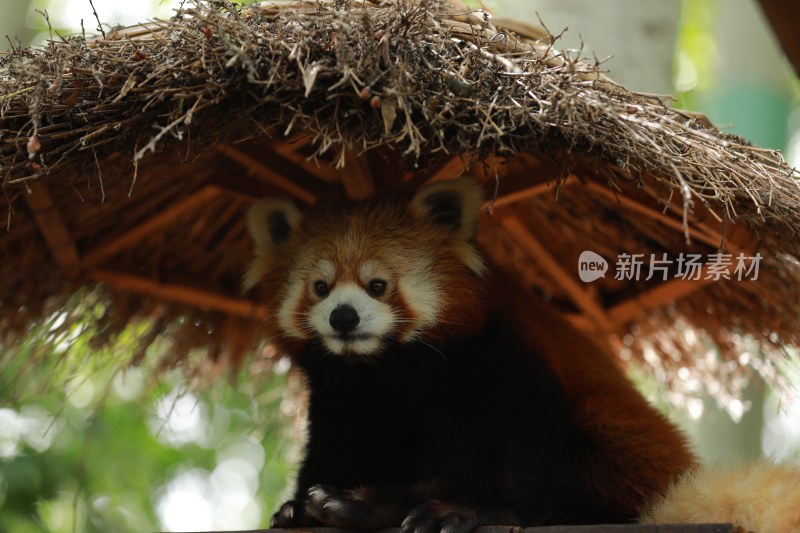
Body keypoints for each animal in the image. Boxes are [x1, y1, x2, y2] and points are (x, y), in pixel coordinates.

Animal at [244, 177, 800, 528]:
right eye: (320, 287)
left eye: (377, 285)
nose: (344, 317)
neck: (392, 365)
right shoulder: (345, 389)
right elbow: (337, 441)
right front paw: (297, 506)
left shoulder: (499, 353)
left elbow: (524, 445)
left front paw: (482, 511)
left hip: (628, 440)